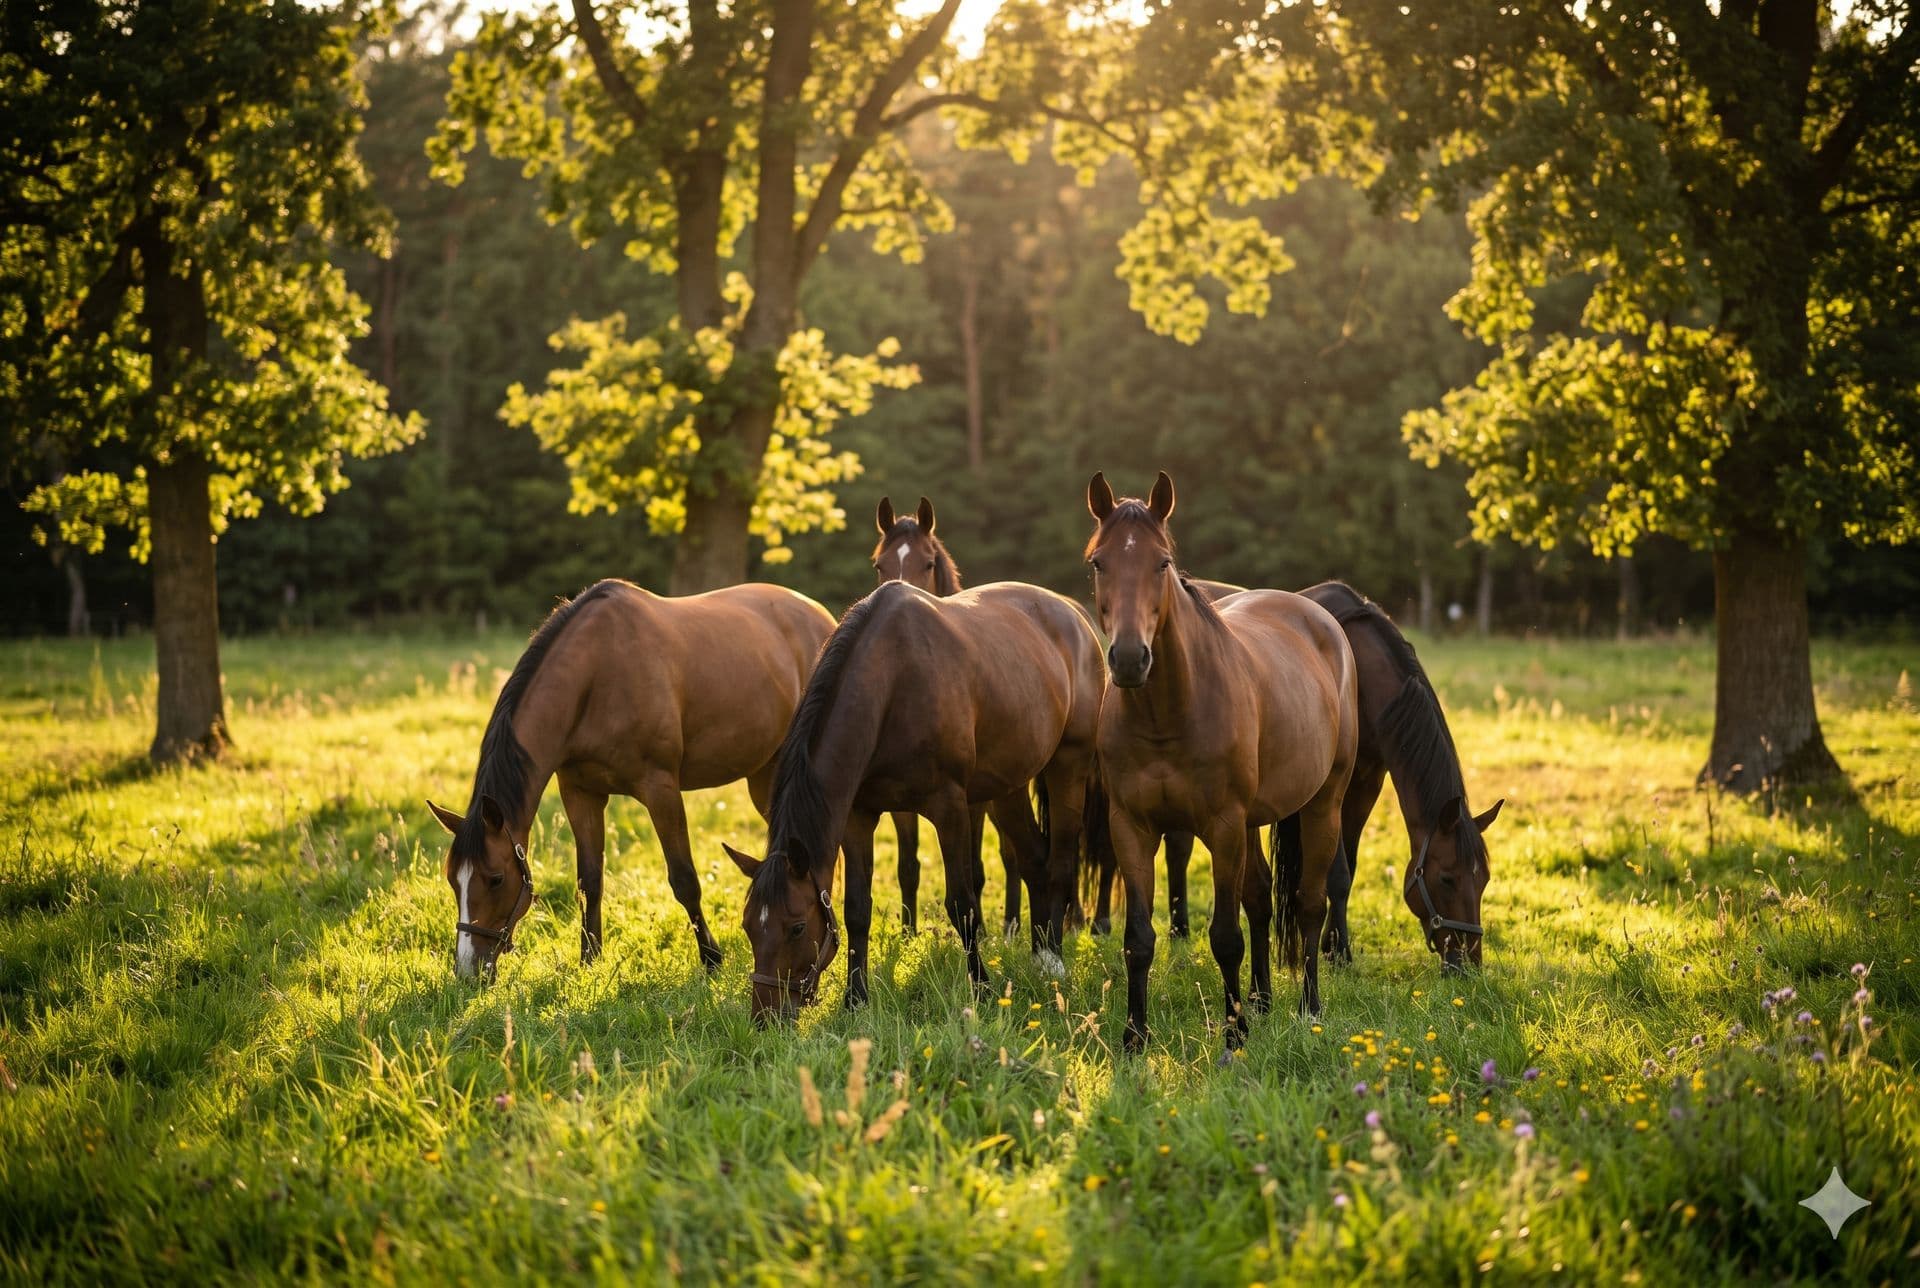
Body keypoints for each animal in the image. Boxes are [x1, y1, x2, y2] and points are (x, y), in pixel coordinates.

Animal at [426, 579, 836, 979]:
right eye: (452, 879)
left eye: (495, 878)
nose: (468, 971)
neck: (596, 676)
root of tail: (818, 613)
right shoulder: (580, 792)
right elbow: (589, 881)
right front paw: (589, 958)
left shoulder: (661, 789)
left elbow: (685, 880)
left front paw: (711, 959)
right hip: (764, 775)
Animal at [723, 580, 1104, 1023]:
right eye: (749, 926)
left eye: (797, 927)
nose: (766, 1016)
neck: (893, 683)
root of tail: (1074, 616)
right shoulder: (858, 817)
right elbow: (857, 910)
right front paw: (855, 999)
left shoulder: (950, 808)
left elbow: (962, 905)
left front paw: (982, 989)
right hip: (1008, 788)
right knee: (1034, 861)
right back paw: (1040, 954)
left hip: (1068, 766)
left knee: (1059, 863)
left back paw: (1054, 960)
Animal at [870, 495, 1020, 938]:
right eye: (880, 565)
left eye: (928, 563)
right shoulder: (900, 806)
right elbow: (908, 866)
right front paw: (907, 933)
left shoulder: (971, 803)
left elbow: (974, 869)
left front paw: (981, 930)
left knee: (1011, 857)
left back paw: (1011, 924)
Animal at [1085, 579, 1503, 968]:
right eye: (1447, 878)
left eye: (1483, 879)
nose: (1468, 961)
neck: (1361, 665)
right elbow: (1334, 874)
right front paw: (1335, 949)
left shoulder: (1366, 780)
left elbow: (1347, 869)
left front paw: (1335, 946)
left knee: (1177, 846)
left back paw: (1180, 927)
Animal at [1086, 472, 1358, 1054]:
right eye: (1099, 562)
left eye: (1162, 562)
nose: (1128, 659)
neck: (1168, 714)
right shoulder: (1131, 828)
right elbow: (1138, 938)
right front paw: (1134, 1036)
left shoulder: (1223, 825)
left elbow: (1225, 937)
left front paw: (1234, 1037)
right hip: (1255, 820)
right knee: (1259, 898)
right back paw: (1260, 1000)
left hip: (1322, 804)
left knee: (1309, 903)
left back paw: (1308, 1007)